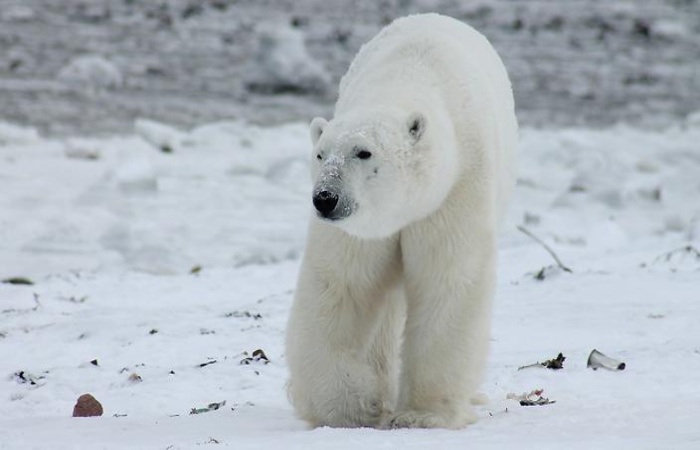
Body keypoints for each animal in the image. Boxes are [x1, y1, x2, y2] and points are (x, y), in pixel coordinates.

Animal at [284, 13, 520, 428]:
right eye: (320, 154)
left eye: (363, 152)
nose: (325, 198)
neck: (407, 77)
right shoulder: (361, 229)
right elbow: (341, 285)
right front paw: (348, 407)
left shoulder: (455, 189)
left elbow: (448, 280)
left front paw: (422, 415)